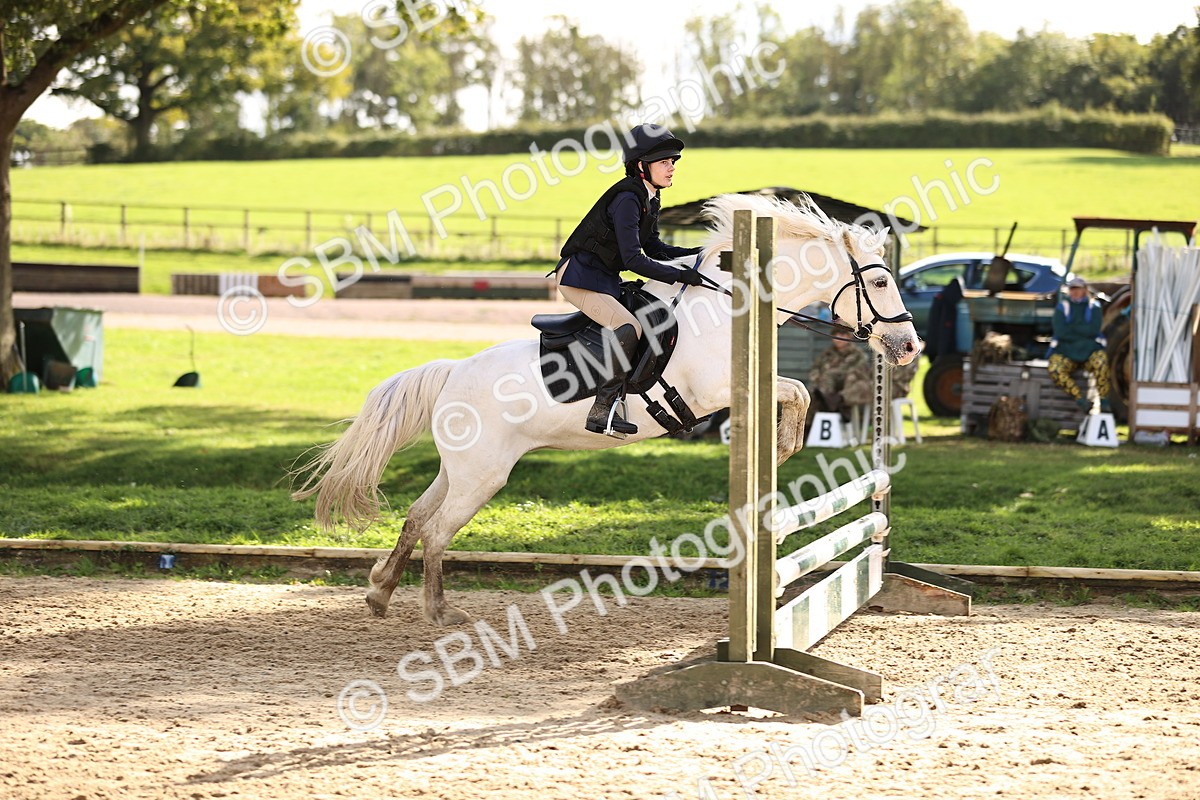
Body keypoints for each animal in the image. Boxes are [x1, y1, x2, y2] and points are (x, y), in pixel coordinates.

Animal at [291, 193, 920, 626]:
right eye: (880, 283)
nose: (909, 346)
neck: (729, 307)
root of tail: (453, 373)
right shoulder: (715, 391)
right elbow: (794, 391)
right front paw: (787, 442)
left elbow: (801, 392)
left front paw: (786, 442)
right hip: (484, 476)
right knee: (439, 531)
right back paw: (439, 611)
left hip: (461, 470)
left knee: (419, 518)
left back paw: (379, 593)